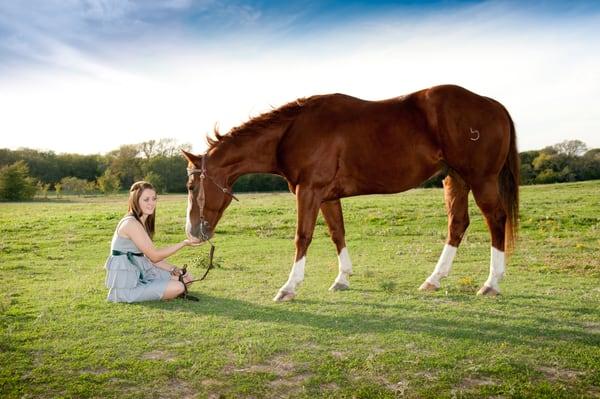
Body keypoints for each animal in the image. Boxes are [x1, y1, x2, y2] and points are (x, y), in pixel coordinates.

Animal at [183, 85, 520, 304]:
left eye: (191, 187)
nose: (192, 232)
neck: (292, 131)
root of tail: (493, 104)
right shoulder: (327, 197)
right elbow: (337, 234)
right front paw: (342, 279)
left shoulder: (309, 191)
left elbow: (302, 237)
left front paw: (289, 287)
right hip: (456, 180)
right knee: (458, 224)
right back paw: (433, 280)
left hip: (481, 180)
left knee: (496, 219)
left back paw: (491, 283)